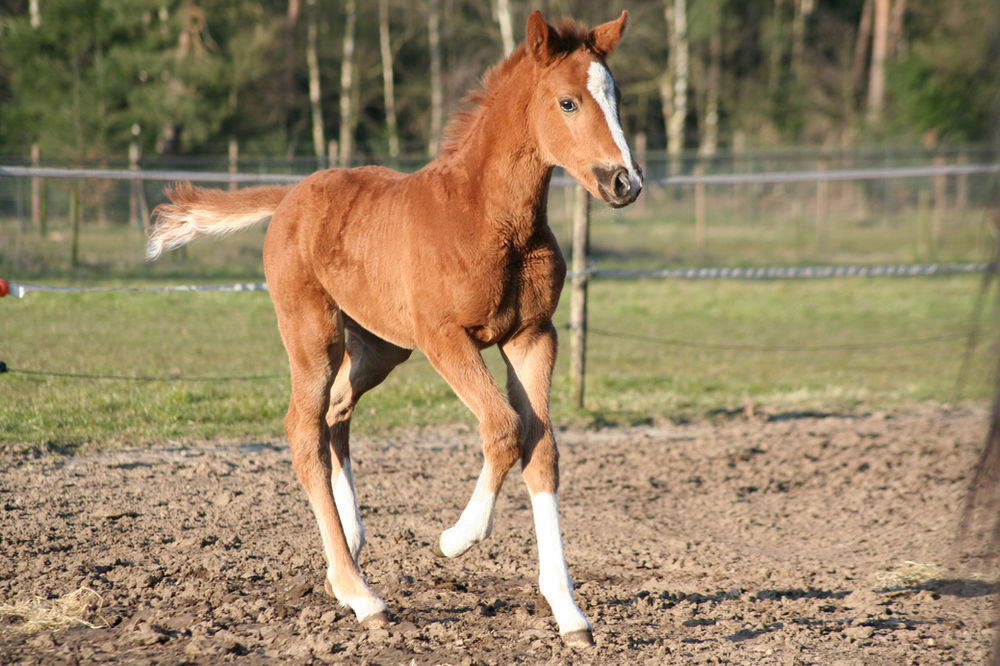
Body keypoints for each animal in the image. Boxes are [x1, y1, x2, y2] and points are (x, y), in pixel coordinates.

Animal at [146, 10, 642, 647]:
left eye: (617, 97)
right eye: (568, 102)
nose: (625, 183)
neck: (489, 217)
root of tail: (291, 195)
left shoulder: (533, 336)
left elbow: (542, 448)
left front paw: (569, 613)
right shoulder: (445, 338)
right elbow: (504, 428)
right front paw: (456, 539)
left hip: (380, 348)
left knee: (335, 414)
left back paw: (349, 554)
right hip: (314, 334)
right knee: (303, 429)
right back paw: (362, 597)